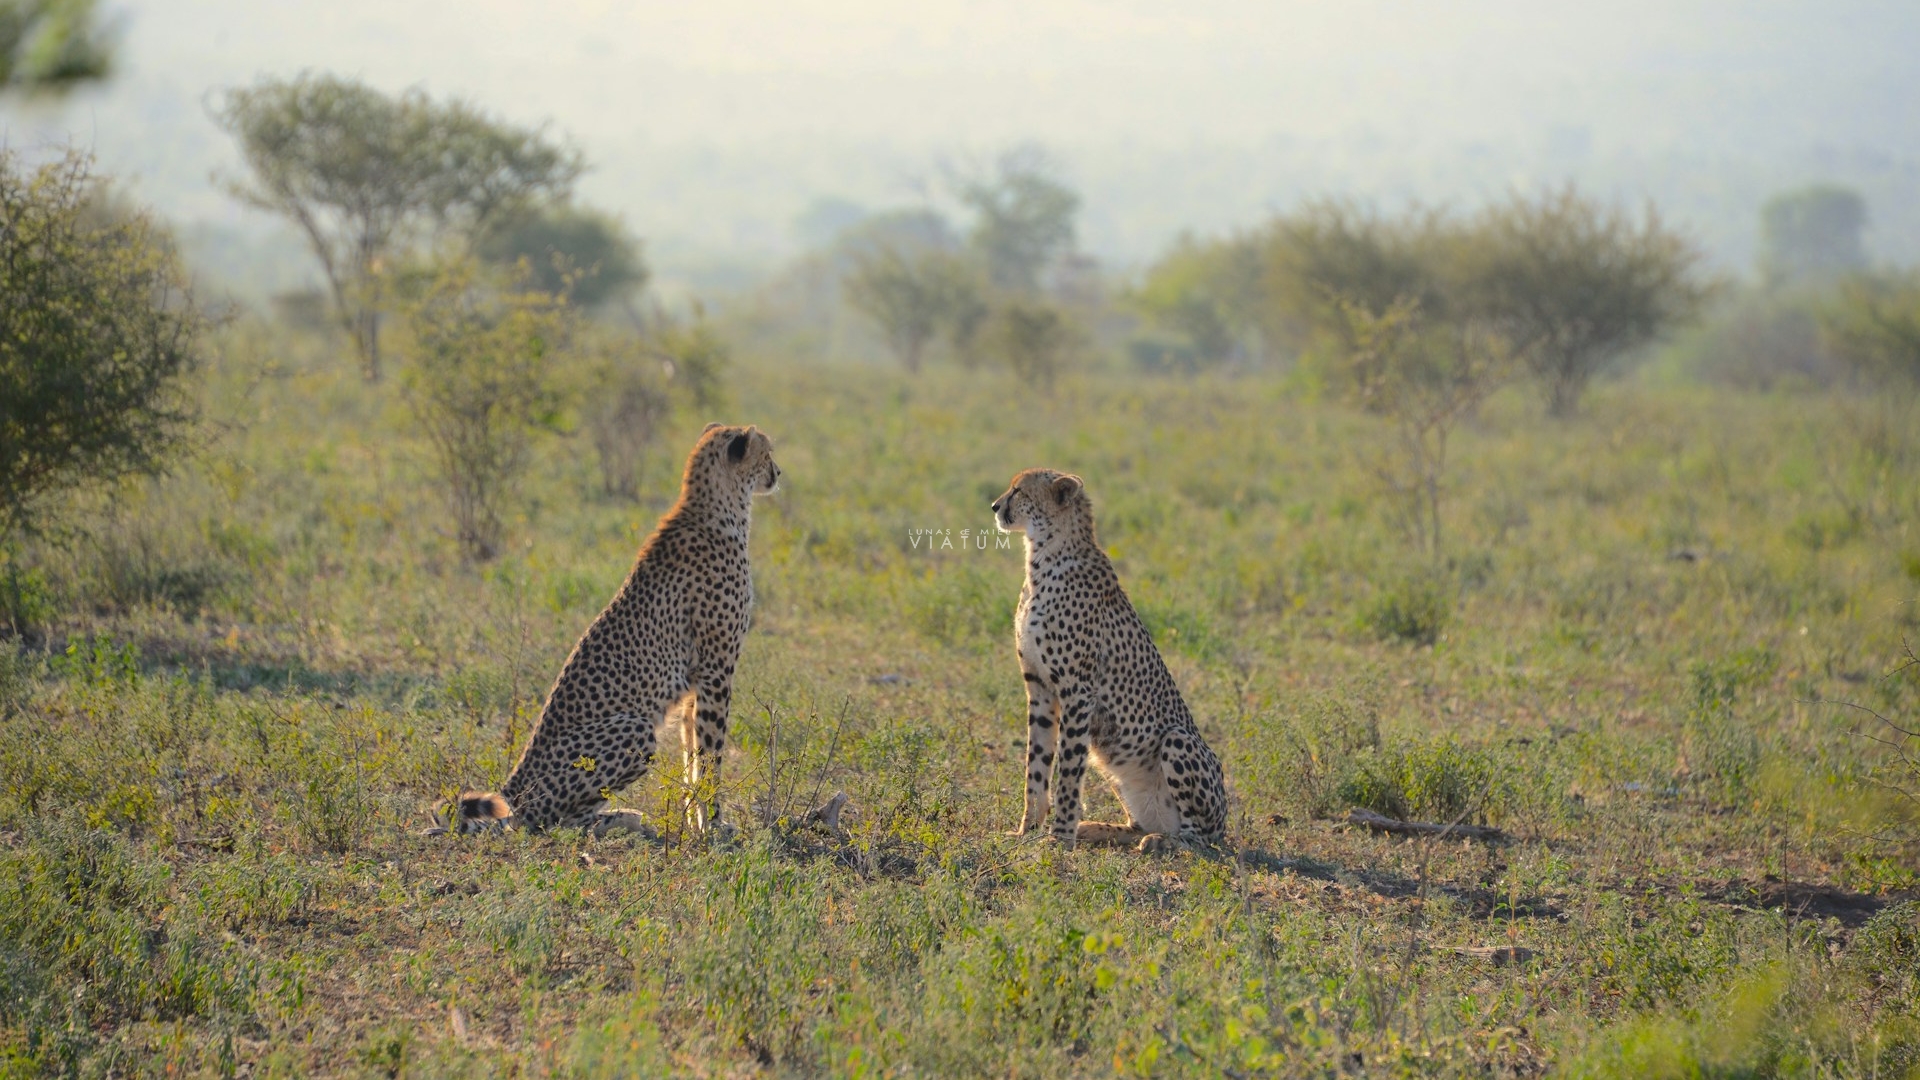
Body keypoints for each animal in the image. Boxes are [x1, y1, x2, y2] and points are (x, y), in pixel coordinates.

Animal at [439, 420, 783, 834]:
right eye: (767, 452)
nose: (778, 473)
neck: (720, 507)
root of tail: (513, 791)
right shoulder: (716, 669)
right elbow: (710, 753)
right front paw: (714, 824)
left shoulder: (695, 682)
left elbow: (691, 755)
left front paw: (693, 821)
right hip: (635, 730)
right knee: (548, 822)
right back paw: (619, 820)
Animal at [990, 465, 1228, 849]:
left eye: (1019, 491)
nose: (995, 506)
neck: (1044, 556)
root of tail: (1225, 823)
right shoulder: (1039, 687)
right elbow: (1036, 766)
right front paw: (1027, 830)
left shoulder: (1078, 691)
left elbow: (1068, 771)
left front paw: (1059, 837)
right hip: (1116, 767)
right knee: (1140, 825)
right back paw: (1099, 829)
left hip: (1177, 739)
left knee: (1199, 839)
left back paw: (1164, 843)